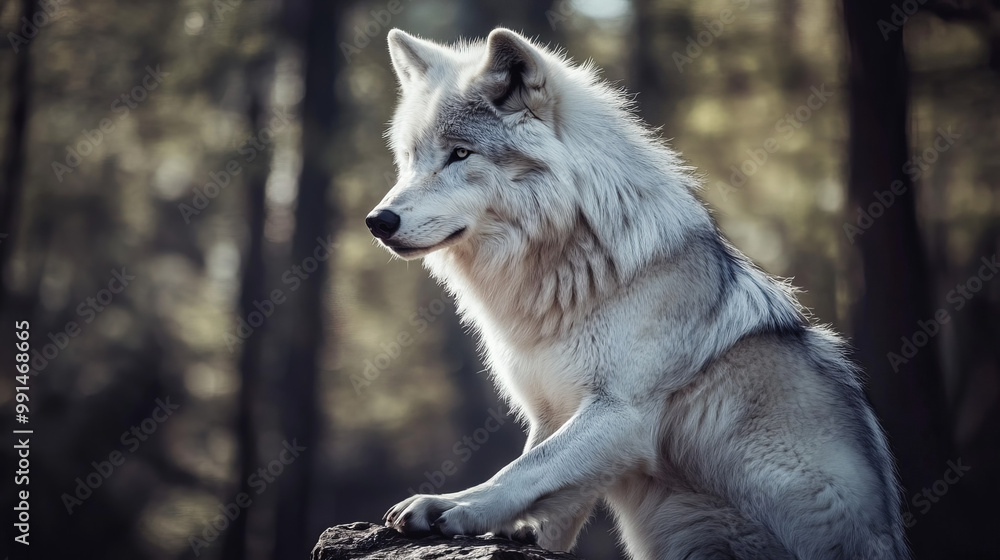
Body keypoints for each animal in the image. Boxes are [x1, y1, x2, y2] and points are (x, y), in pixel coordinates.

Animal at [367, 27, 908, 560]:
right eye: (410, 159)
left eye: (460, 153)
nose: (377, 221)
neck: (568, 269)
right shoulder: (549, 411)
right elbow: (543, 482)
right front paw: (518, 531)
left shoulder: (620, 413)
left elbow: (524, 468)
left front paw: (451, 505)